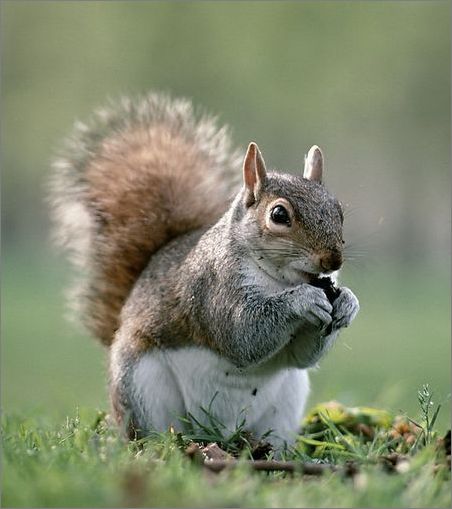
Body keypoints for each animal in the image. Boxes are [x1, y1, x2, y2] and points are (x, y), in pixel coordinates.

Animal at [50, 91, 360, 448]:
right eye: (279, 215)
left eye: (338, 211)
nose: (332, 260)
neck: (281, 280)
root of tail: (222, 434)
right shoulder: (212, 288)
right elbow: (242, 335)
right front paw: (302, 301)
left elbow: (301, 356)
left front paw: (348, 302)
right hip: (141, 387)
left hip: (288, 398)